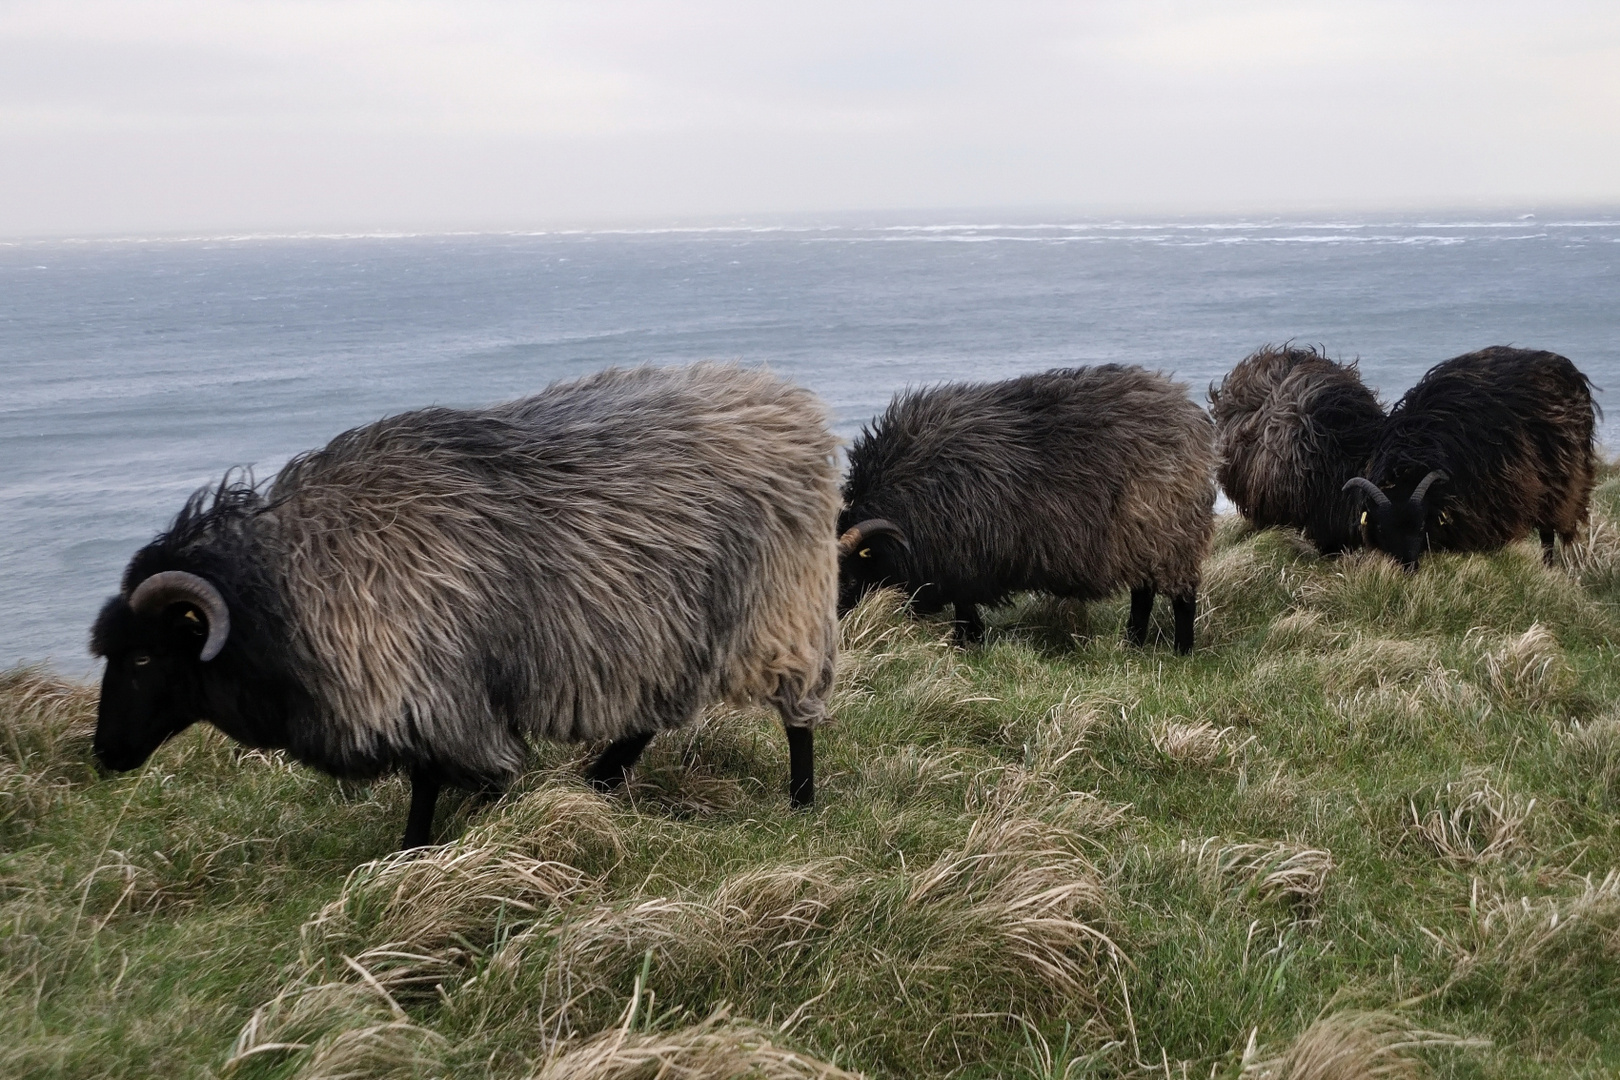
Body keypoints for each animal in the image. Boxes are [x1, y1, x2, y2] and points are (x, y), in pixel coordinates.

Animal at [90, 367, 842, 848]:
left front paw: (417, 849)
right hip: (674, 628)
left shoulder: (436, 687)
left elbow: (430, 779)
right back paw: (601, 777)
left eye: (144, 656)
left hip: (781, 604)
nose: (104, 756)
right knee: (655, 711)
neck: (291, 588)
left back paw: (801, 803)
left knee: (793, 711)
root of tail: (791, 405)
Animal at [835, 365, 1218, 650]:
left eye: (847, 577)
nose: (832, 632)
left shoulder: (961, 564)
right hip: (1142, 537)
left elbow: (965, 613)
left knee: (1181, 597)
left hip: (1170, 529)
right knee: (1143, 592)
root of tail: (1187, 411)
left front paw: (966, 646)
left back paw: (1181, 651)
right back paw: (1133, 644)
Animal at [1341, 348, 1594, 573]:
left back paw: (1548, 567)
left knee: (1547, 533)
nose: (1409, 568)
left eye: (1421, 524)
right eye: (1382, 528)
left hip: (1560, 485)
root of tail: (1563, 367)